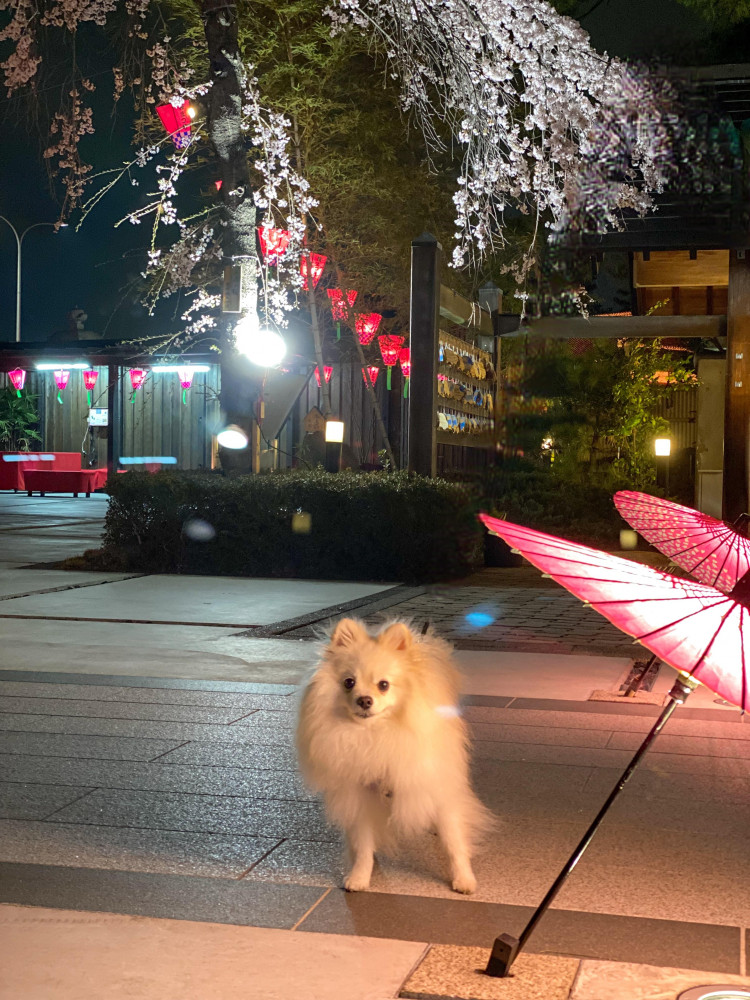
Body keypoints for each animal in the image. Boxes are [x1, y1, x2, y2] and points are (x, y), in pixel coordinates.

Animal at [296, 616, 496, 892]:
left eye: (384, 685)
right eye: (349, 682)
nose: (364, 700)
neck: (376, 734)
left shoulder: (436, 783)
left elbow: (453, 840)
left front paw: (464, 878)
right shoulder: (361, 794)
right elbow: (363, 843)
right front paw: (360, 876)